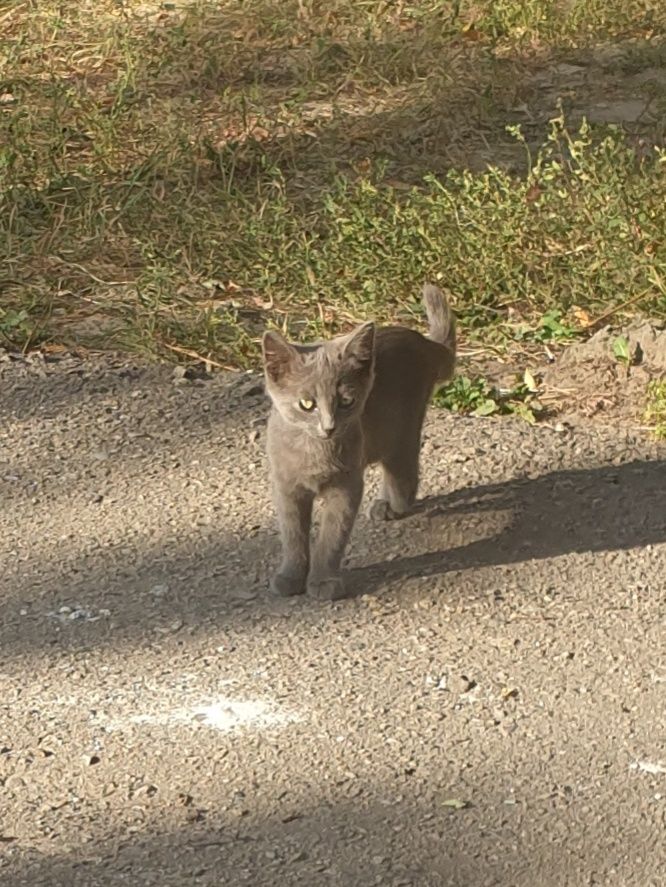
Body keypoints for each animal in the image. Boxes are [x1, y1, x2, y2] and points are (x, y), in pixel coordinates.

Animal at [262, 284, 454, 604]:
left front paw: (323, 581)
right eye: (306, 404)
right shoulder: (286, 485)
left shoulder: (346, 484)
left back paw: (394, 505)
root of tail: (422, 342)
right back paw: (385, 504)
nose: (329, 426)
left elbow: (332, 536)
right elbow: (292, 534)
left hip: (401, 429)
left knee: (404, 473)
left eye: (346, 402)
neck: (314, 452)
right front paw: (290, 577)